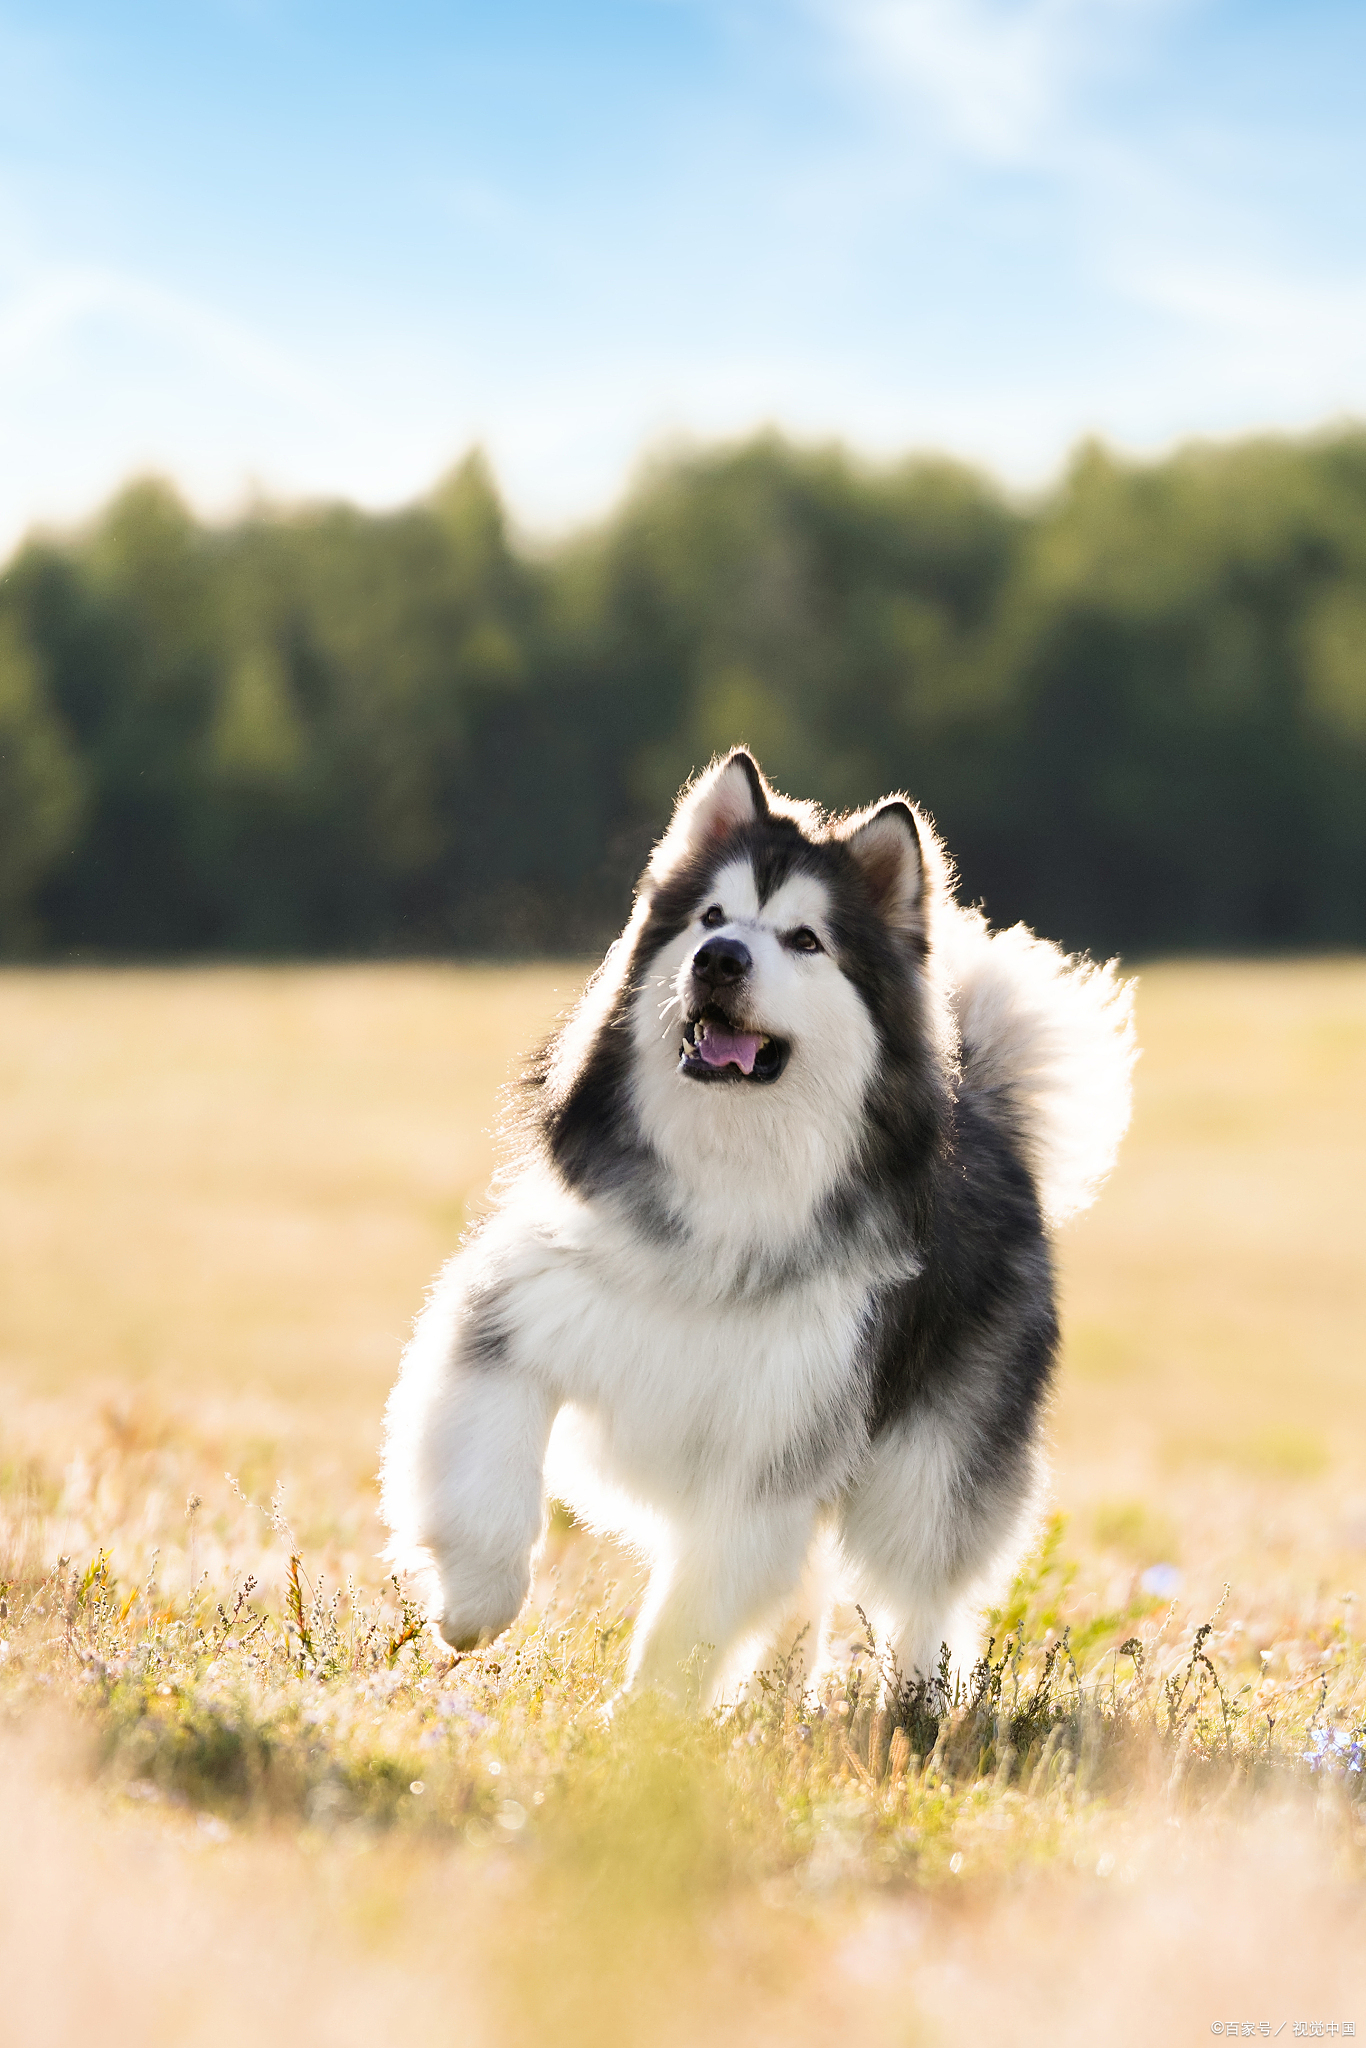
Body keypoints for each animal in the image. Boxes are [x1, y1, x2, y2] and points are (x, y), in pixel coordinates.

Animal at [378, 753, 1138, 1712]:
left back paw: (916, 1705)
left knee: (920, 1588)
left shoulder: (777, 1439)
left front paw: (640, 1721)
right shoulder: (520, 1316)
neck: (729, 1169)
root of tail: (989, 1115)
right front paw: (475, 1602)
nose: (719, 959)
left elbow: (696, 1610)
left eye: (805, 940)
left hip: (930, 1463)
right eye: (711, 918)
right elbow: (486, 1473)